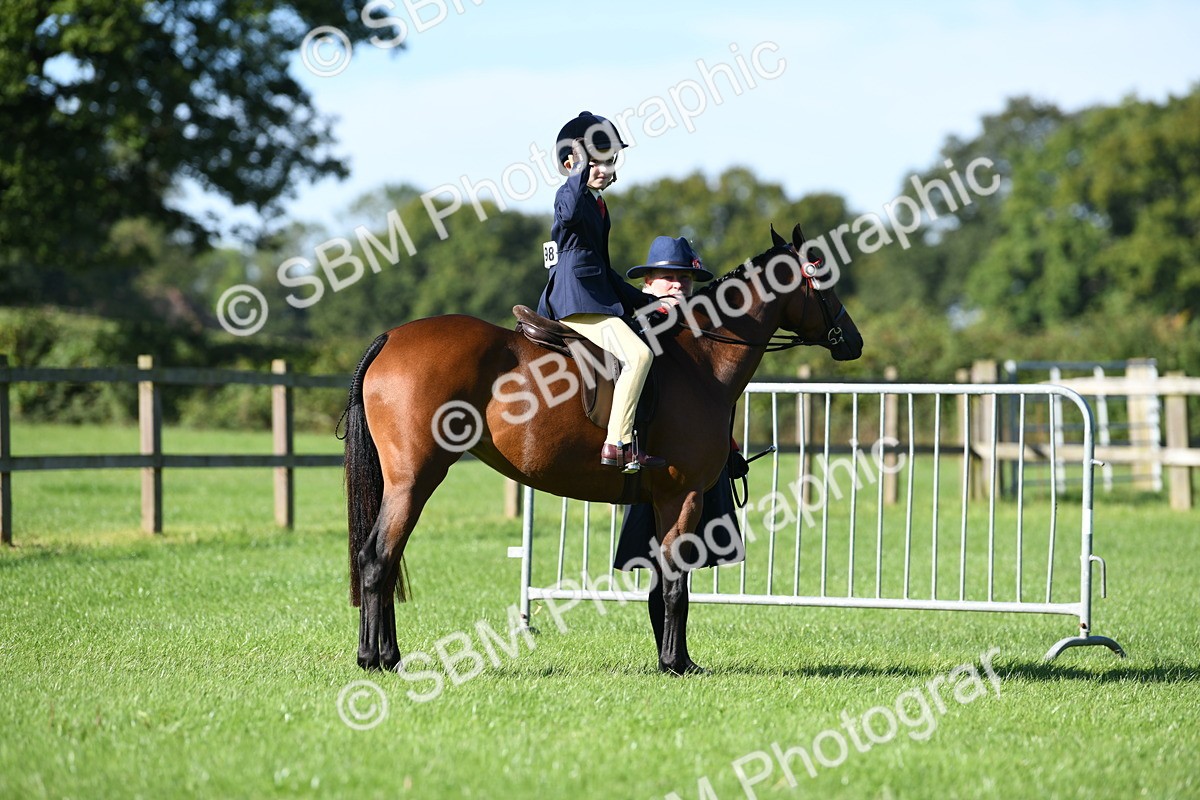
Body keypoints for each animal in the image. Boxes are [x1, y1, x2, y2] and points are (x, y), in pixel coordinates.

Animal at [342, 223, 864, 674]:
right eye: (821, 273)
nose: (853, 341)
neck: (699, 359)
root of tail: (392, 337)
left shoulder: (660, 502)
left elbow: (664, 582)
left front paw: (674, 658)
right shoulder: (683, 497)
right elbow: (676, 584)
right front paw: (675, 663)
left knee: (385, 560)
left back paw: (384, 655)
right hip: (415, 480)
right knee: (378, 558)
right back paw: (376, 658)